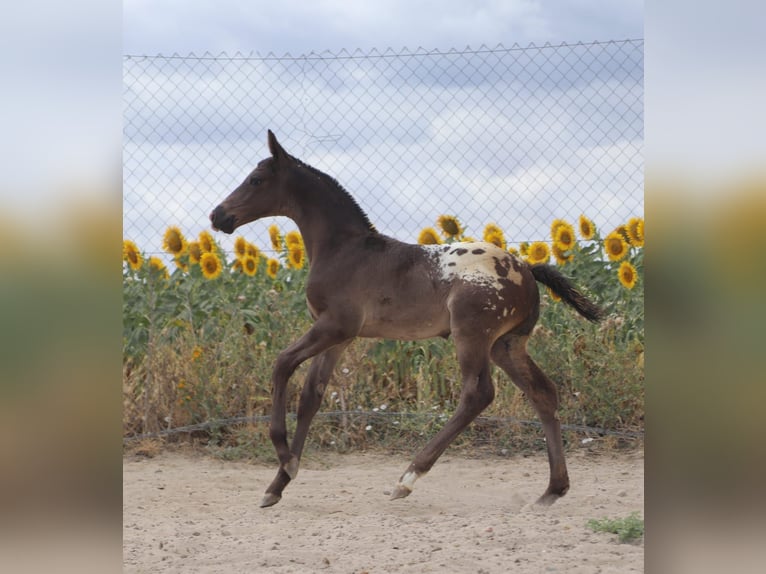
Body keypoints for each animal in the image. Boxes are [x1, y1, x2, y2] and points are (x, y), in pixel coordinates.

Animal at [210, 130, 603, 508]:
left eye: (256, 179)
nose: (217, 216)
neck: (344, 250)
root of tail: (526, 269)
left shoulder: (334, 326)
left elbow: (281, 364)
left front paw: (285, 458)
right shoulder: (339, 338)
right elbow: (311, 397)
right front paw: (277, 485)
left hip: (472, 336)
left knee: (477, 394)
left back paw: (408, 478)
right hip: (506, 345)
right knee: (543, 393)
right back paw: (552, 490)